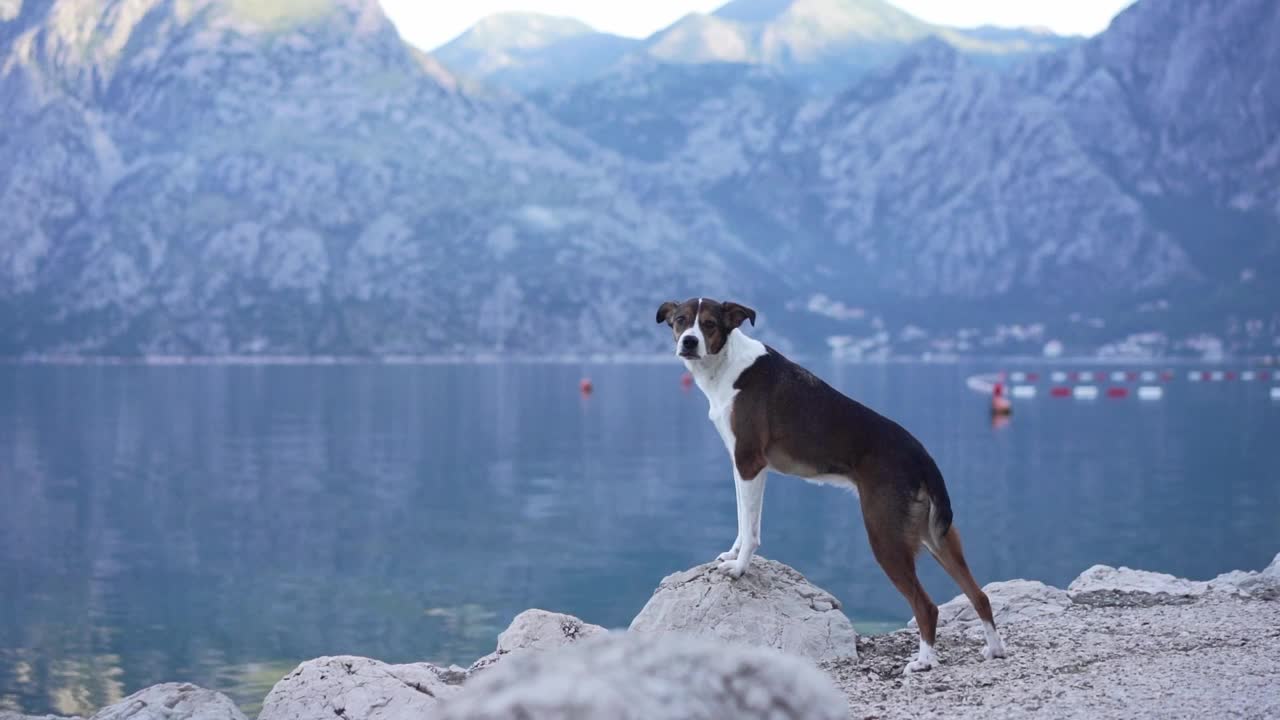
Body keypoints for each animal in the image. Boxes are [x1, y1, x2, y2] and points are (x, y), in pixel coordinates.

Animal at [660, 294, 1008, 671]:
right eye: (680, 321)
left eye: (709, 324)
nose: (689, 342)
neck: (727, 364)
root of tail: (922, 457)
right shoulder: (742, 466)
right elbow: (744, 521)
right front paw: (733, 554)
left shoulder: (749, 461)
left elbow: (750, 529)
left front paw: (739, 569)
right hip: (937, 536)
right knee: (979, 594)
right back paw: (994, 648)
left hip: (884, 535)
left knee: (926, 605)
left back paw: (924, 661)